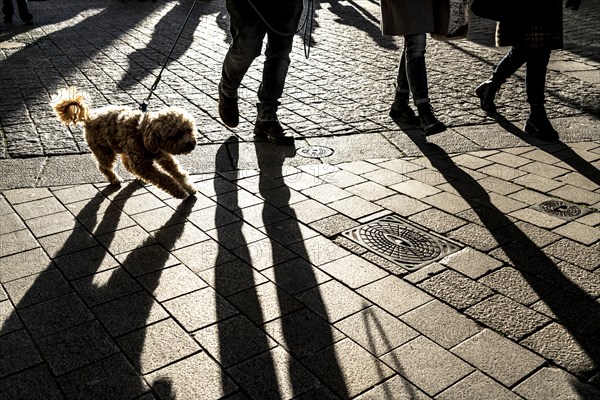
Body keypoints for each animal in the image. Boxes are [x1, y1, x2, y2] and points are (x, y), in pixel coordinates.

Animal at [51, 88, 197, 199]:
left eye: (188, 130)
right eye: (175, 135)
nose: (191, 144)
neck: (142, 133)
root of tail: (89, 117)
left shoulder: (164, 157)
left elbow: (178, 173)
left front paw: (189, 188)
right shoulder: (143, 166)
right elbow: (164, 178)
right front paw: (179, 192)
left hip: (124, 150)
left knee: (127, 165)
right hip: (104, 151)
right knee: (104, 167)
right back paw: (114, 179)